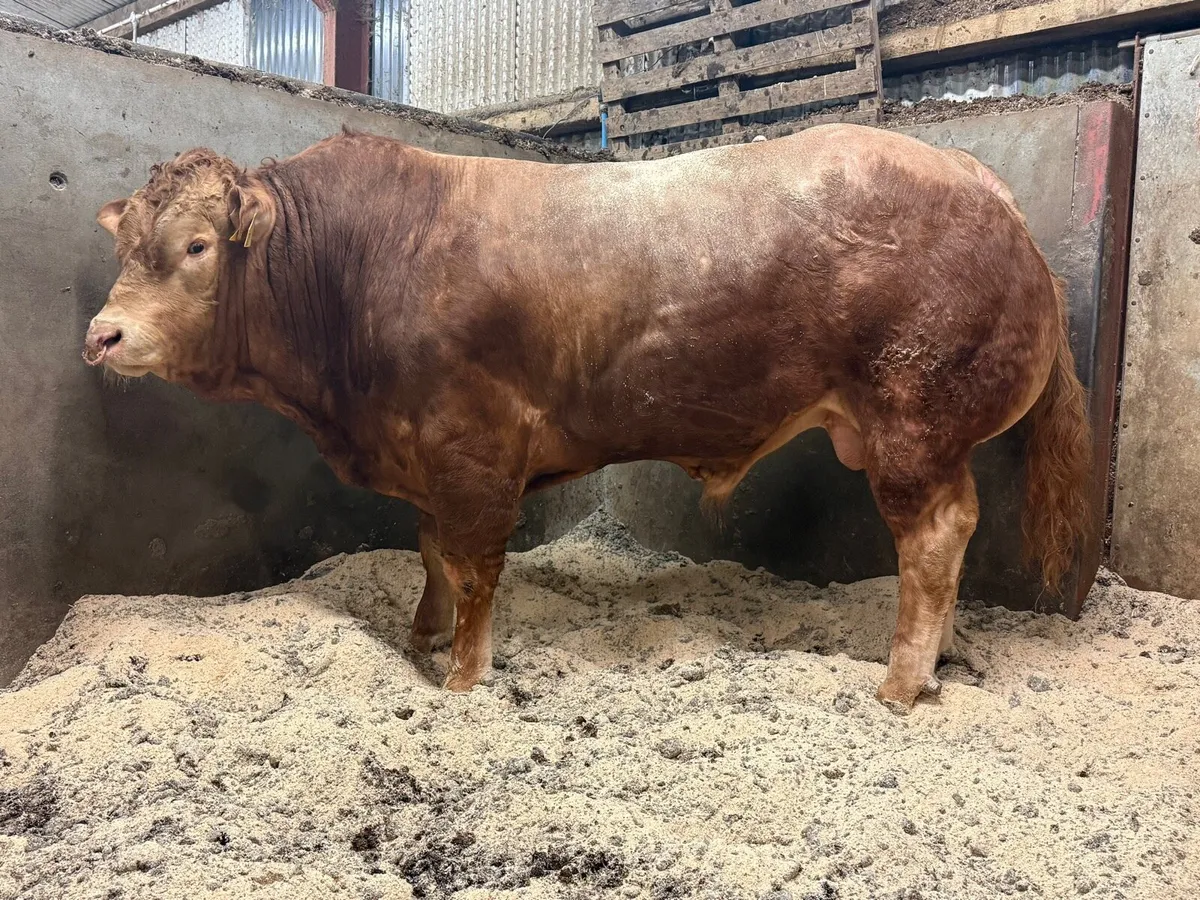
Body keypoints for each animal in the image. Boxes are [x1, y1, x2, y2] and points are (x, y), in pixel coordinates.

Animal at [83, 125, 1091, 713]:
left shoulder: (475, 446)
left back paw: (898, 682)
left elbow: (474, 566)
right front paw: (418, 638)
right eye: (127, 241)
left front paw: (462, 677)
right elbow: (428, 551)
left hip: (912, 426)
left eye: (197, 246)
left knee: (935, 539)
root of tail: (972, 173)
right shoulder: (425, 454)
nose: (103, 334)